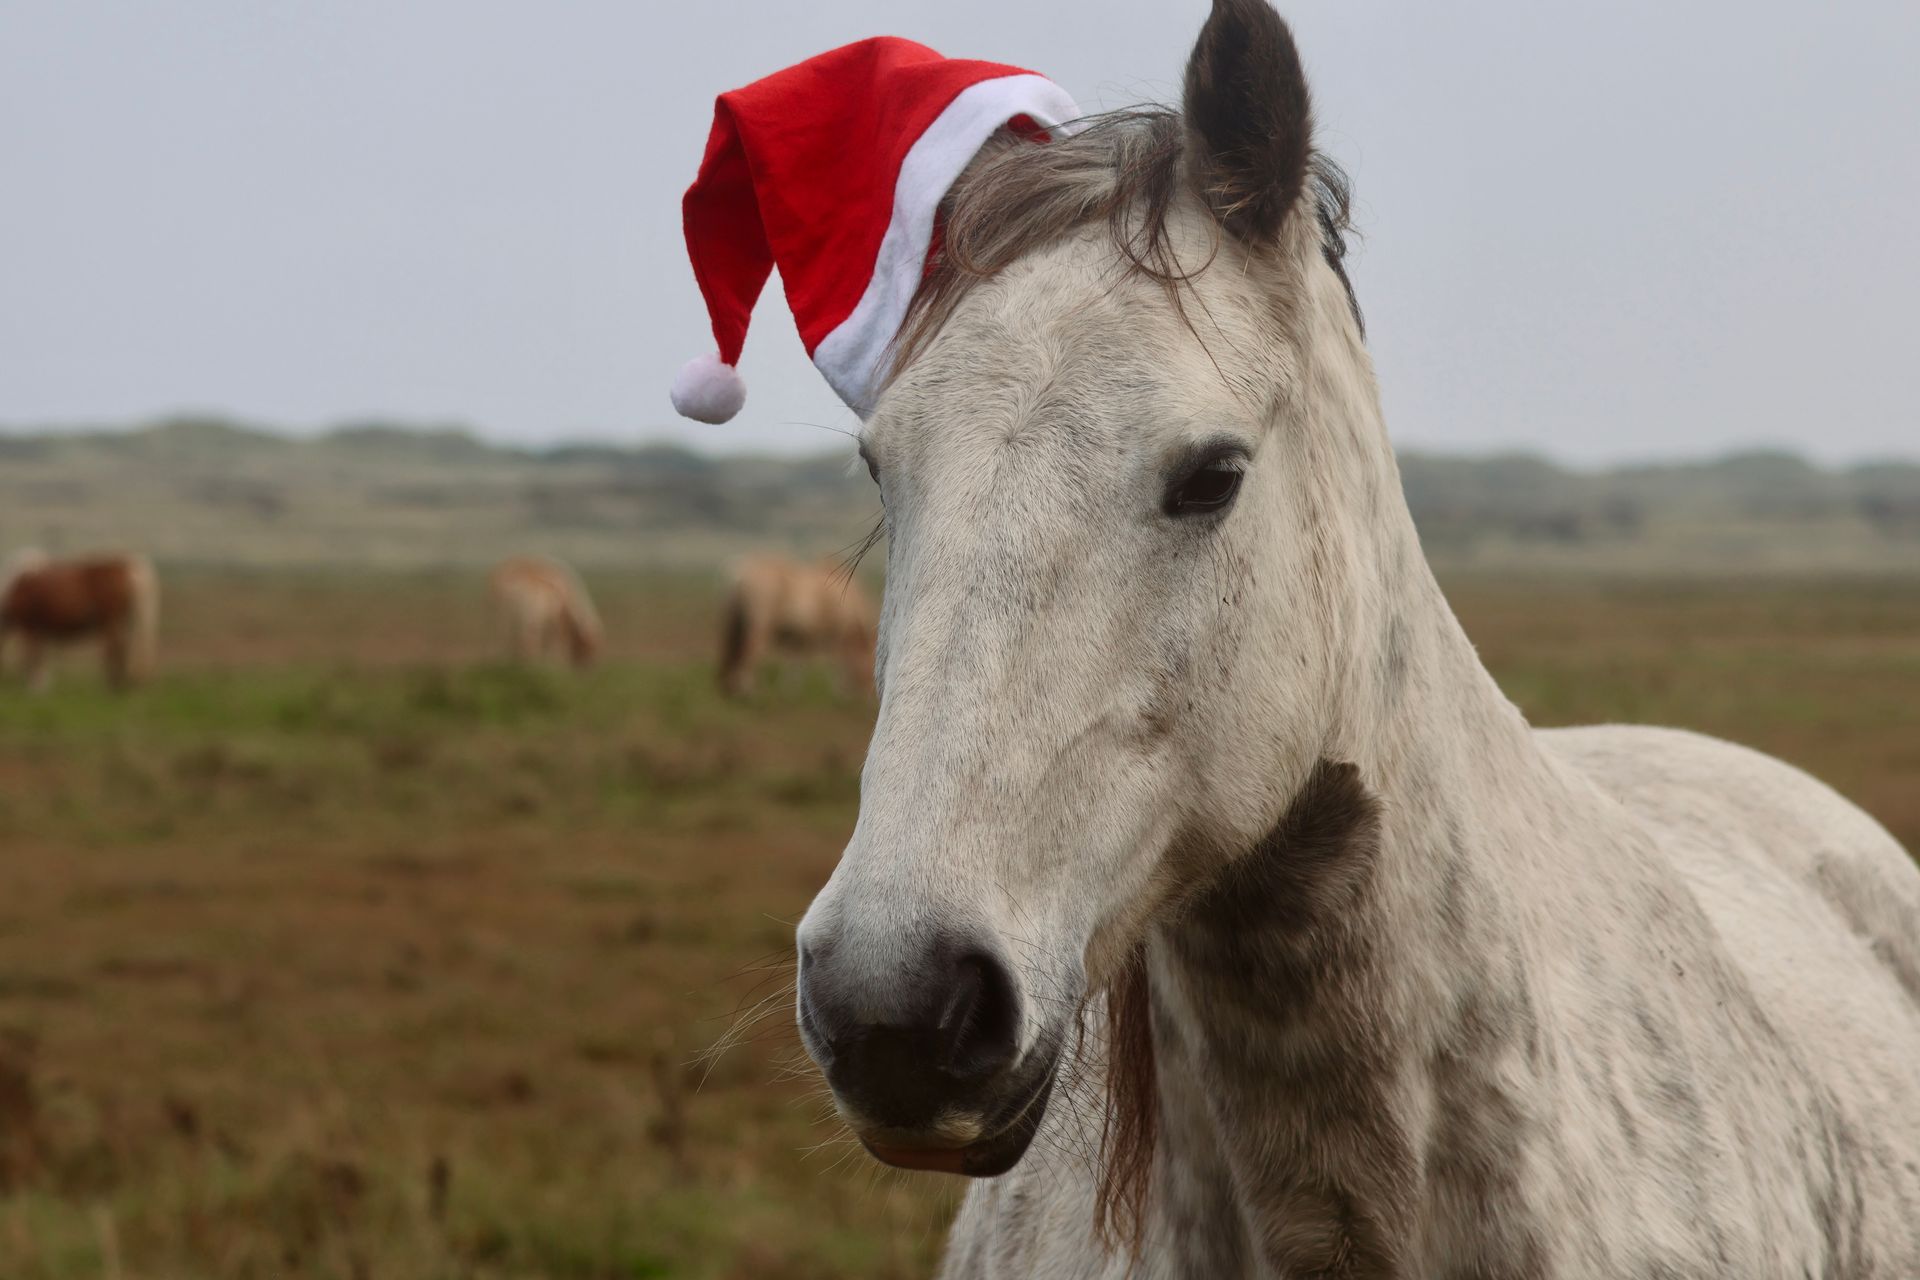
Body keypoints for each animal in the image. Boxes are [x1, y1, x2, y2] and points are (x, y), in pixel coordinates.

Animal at [0, 550, 160, 691]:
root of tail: (126, 567)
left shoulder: (30, 627)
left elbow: (32, 656)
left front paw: (36, 686)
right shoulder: (38, 629)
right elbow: (38, 656)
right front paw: (41, 684)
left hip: (111, 620)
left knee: (115, 647)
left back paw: (113, 685)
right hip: (118, 621)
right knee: (121, 646)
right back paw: (118, 683)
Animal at [718, 555, 876, 698]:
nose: (869, 694)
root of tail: (742, 576)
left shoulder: (798, 637)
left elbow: (795, 661)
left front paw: (789, 689)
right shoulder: (835, 633)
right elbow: (837, 661)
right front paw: (840, 691)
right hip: (759, 628)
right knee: (750, 651)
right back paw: (748, 691)